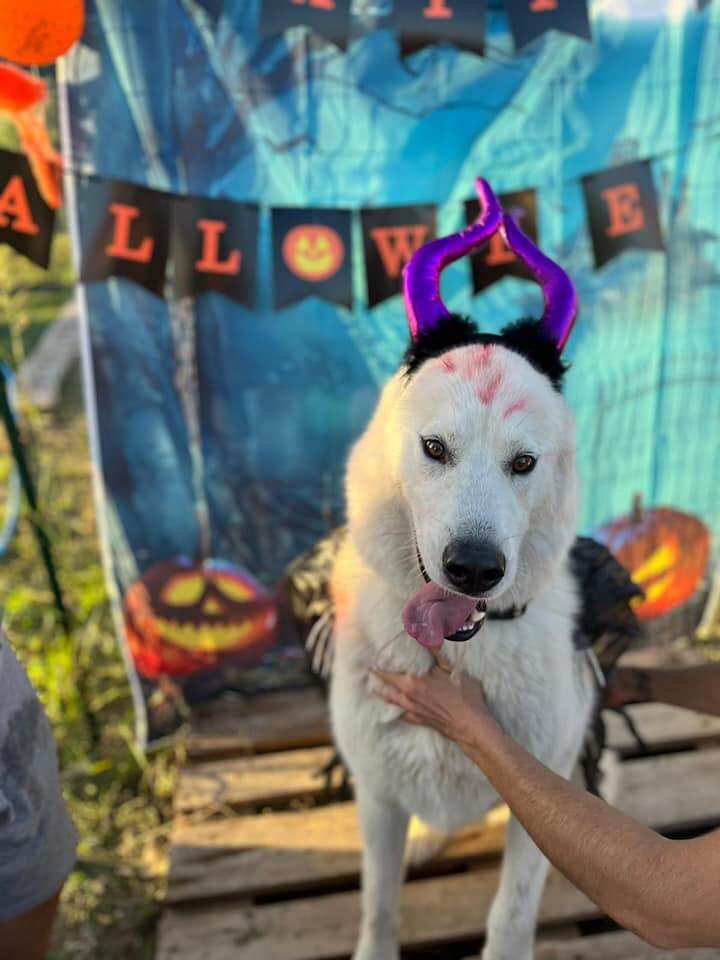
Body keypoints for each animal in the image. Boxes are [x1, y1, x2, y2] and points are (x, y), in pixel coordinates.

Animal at [330, 182, 592, 960]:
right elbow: (378, 901)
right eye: (434, 447)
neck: (450, 659)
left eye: (524, 462)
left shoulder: (544, 797)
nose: (474, 569)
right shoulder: (376, 794)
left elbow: (511, 912)